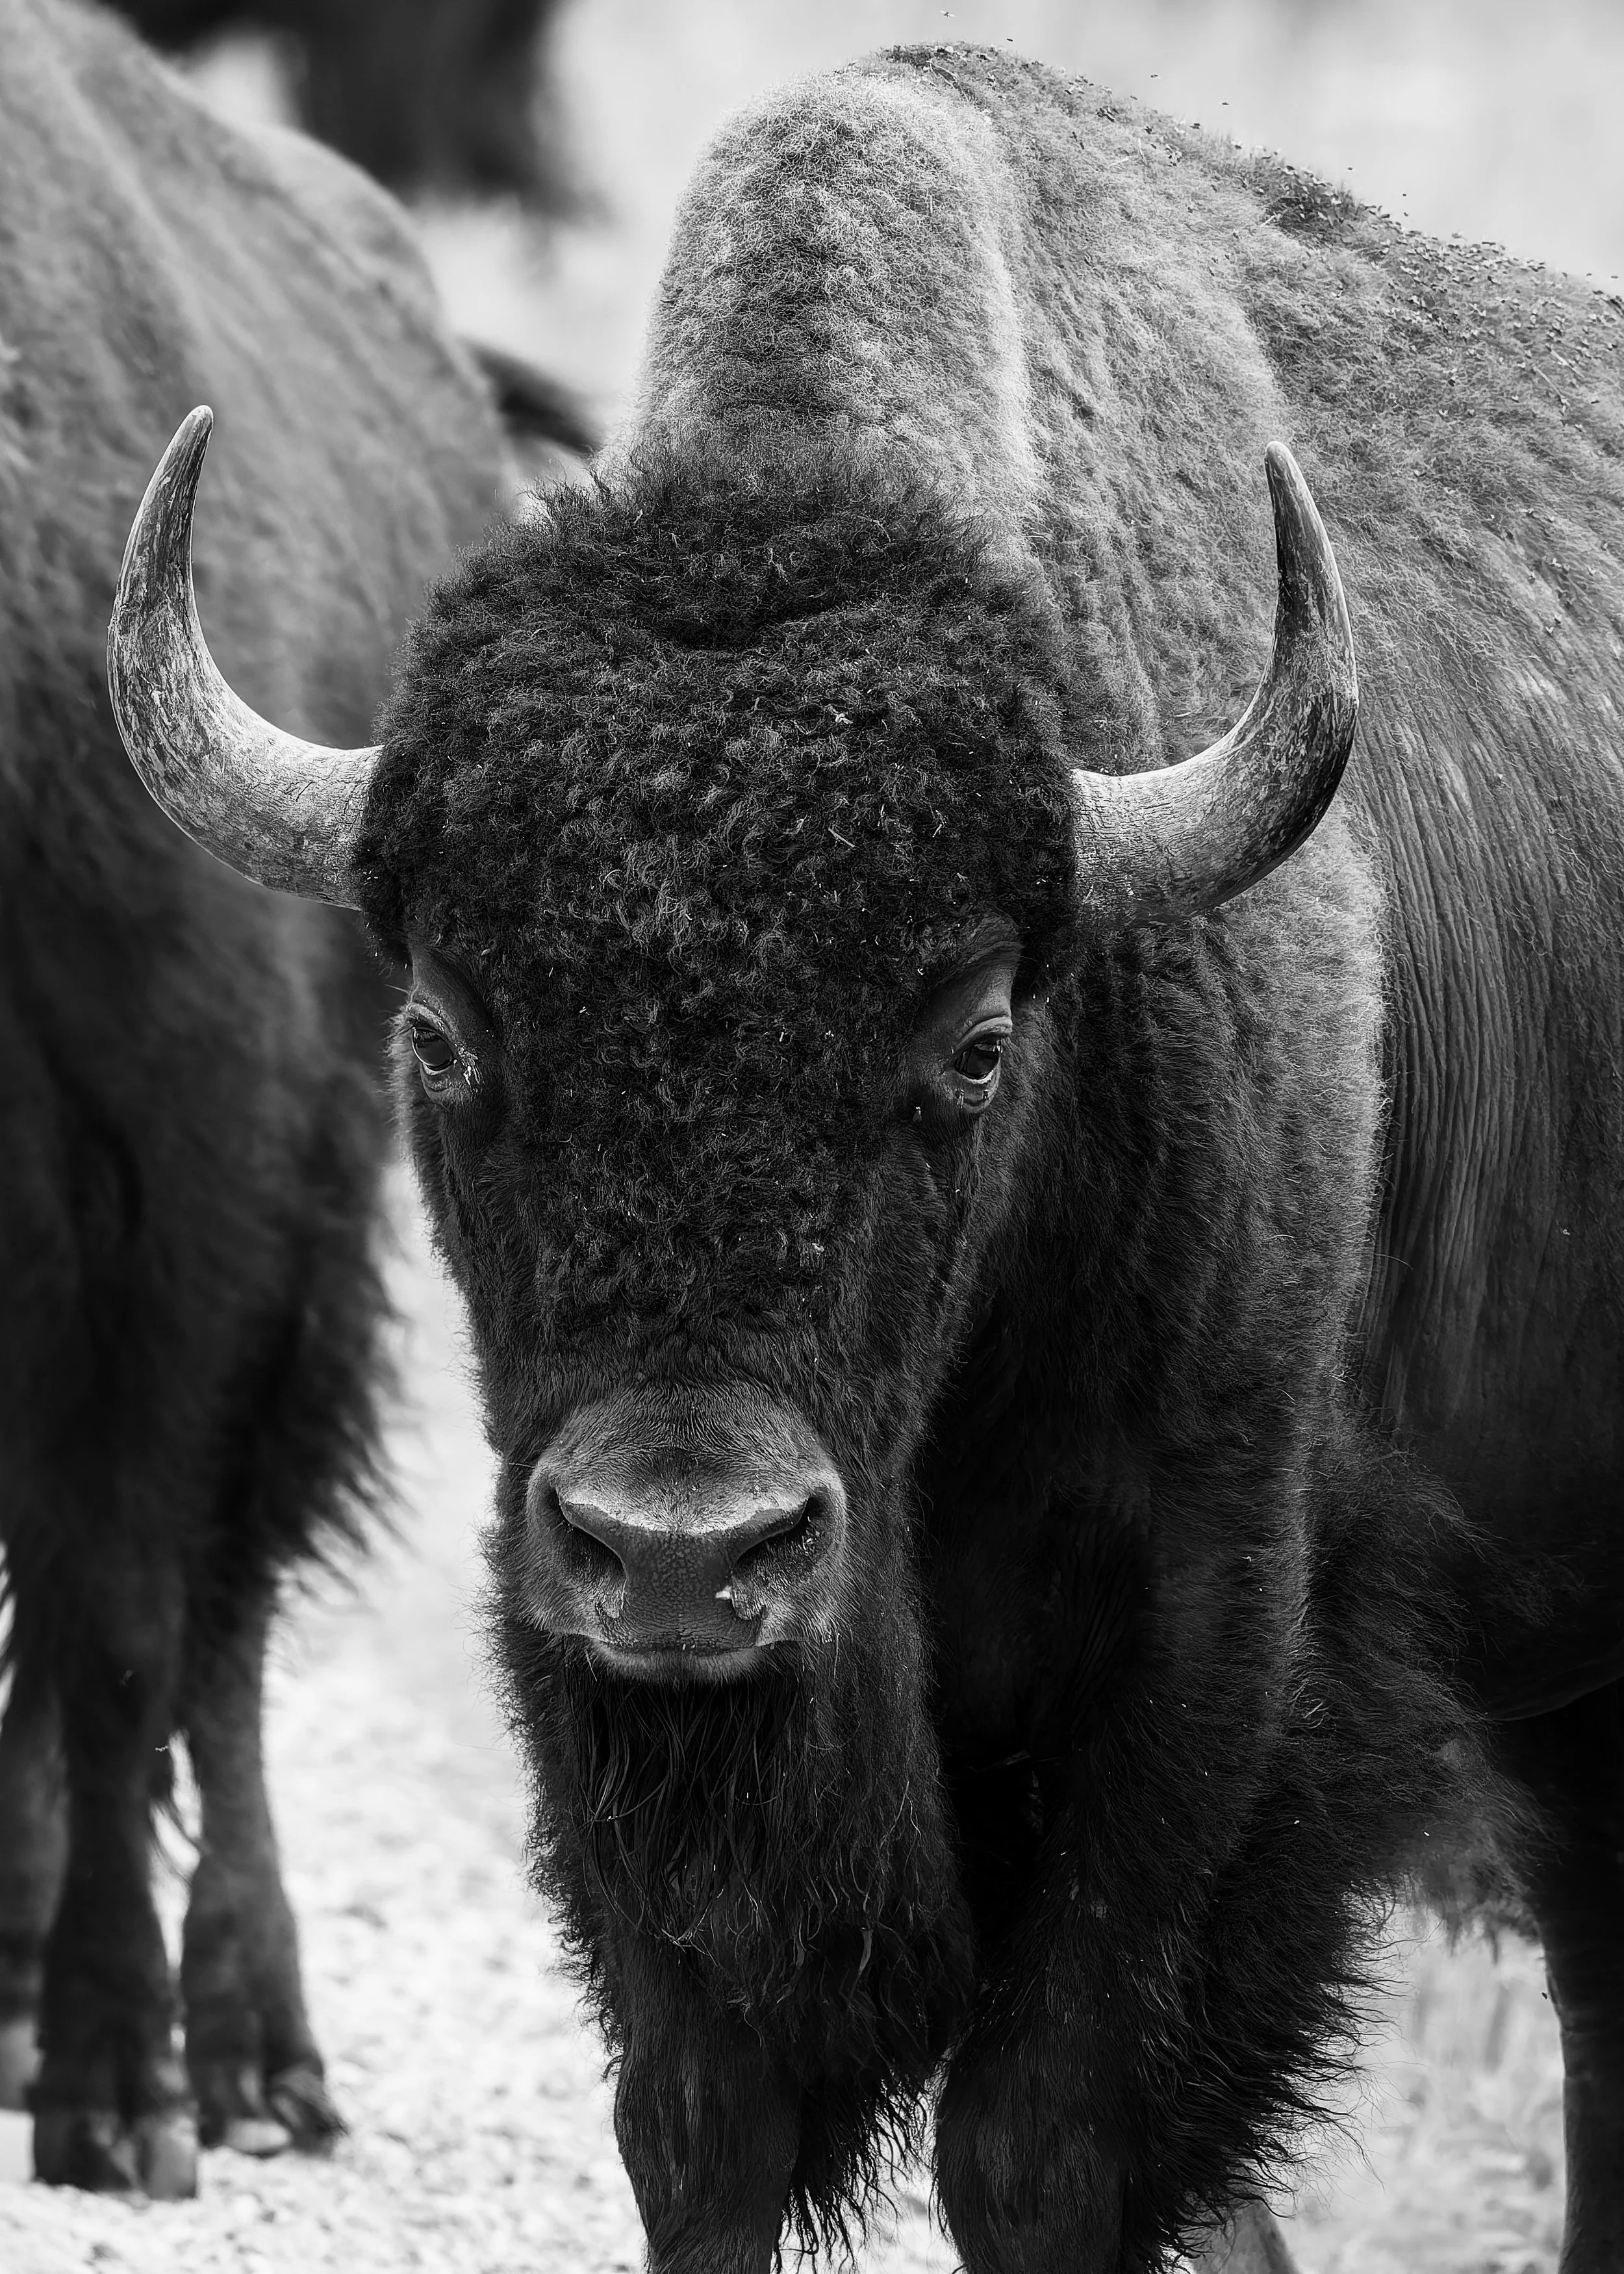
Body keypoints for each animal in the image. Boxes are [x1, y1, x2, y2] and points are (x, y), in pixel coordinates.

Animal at [109, 41, 1624, 2274]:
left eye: (974, 1038)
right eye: (444, 1030)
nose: (681, 1545)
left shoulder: (1200, 1673)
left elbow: (1035, 2141)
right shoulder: (582, 1678)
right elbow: (701, 2121)